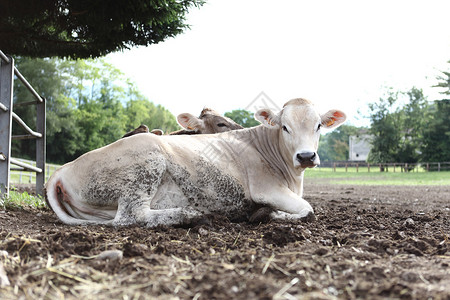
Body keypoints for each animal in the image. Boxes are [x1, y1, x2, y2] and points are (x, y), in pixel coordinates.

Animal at [45, 98, 346, 227]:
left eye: (319, 125)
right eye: (284, 127)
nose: (306, 156)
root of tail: (64, 168)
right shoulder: (266, 189)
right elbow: (308, 210)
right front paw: (264, 214)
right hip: (145, 167)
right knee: (132, 216)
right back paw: (190, 215)